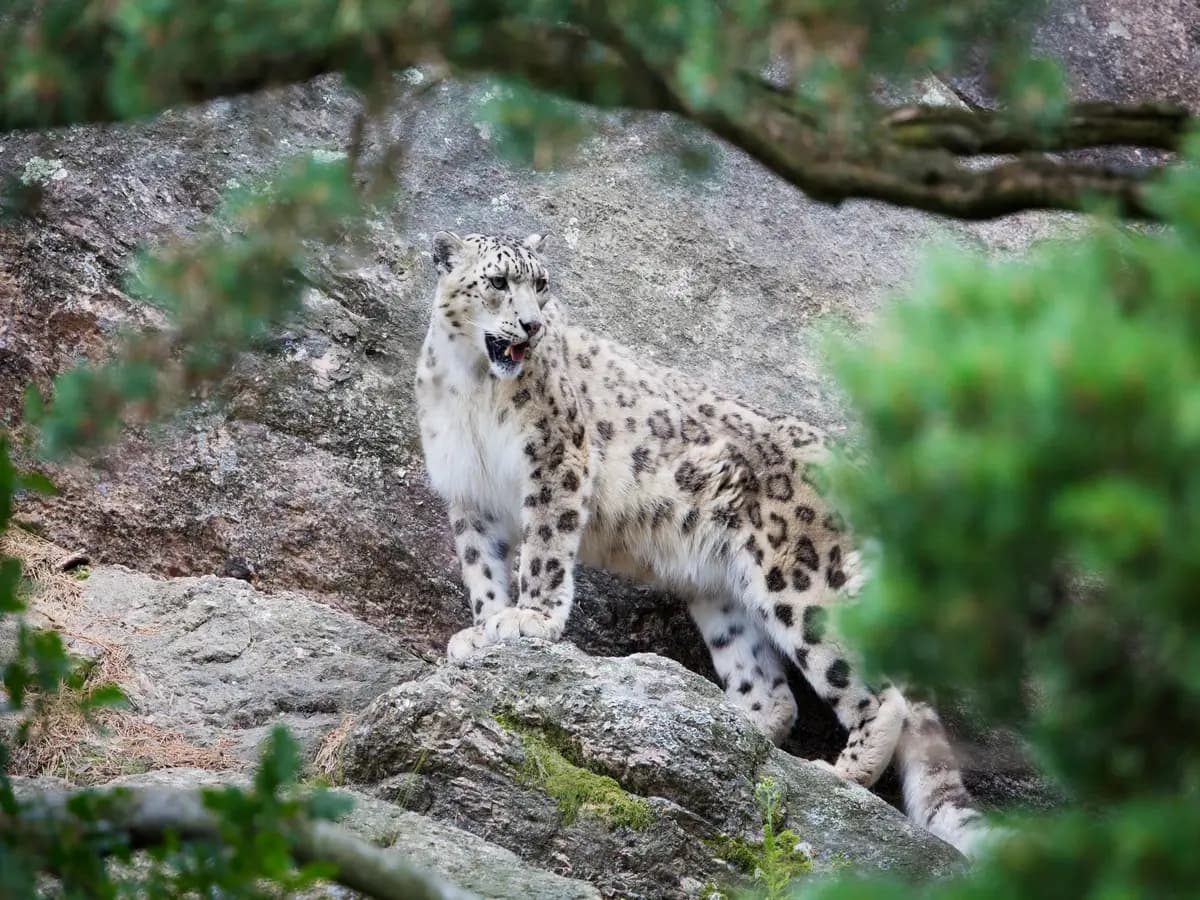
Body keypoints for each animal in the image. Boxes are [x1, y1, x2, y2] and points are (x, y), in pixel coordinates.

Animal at [414, 230, 988, 856]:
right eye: (498, 282)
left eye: (541, 285)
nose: (531, 324)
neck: (472, 386)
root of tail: (860, 468)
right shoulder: (469, 496)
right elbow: (482, 568)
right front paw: (482, 628)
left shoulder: (556, 460)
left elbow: (544, 548)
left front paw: (529, 619)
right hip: (727, 598)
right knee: (773, 693)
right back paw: (729, 730)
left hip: (800, 579)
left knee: (879, 692)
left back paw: (837, 771)